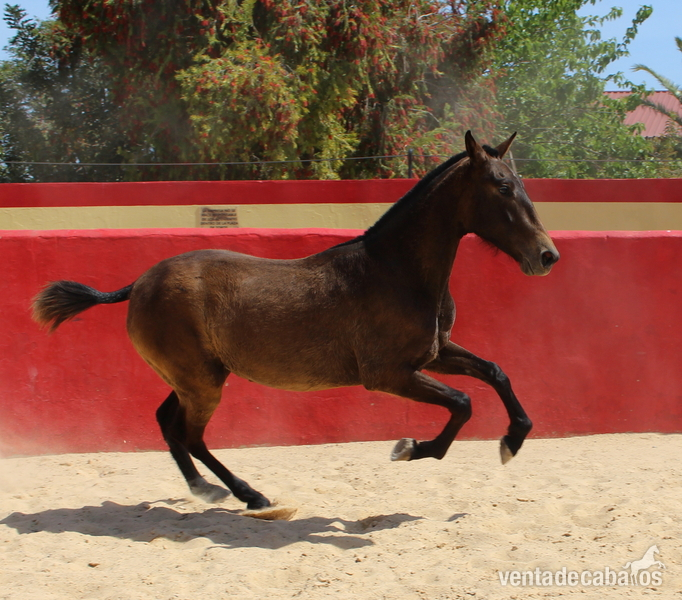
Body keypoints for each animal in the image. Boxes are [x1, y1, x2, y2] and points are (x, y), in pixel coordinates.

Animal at [32, 131, 559, 515]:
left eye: (523, 185)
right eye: (503, 187)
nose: (547, 256)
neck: (397, 269)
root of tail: (138, 283)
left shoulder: (434, 354)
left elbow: (494, 372)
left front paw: (512, 439)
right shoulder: (388, 374)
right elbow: (463, 403)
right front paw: (409, 448)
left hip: (194, 376)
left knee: (168, 422)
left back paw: (208, 490)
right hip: (201, 382)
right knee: (189, 433)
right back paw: (250, 495)